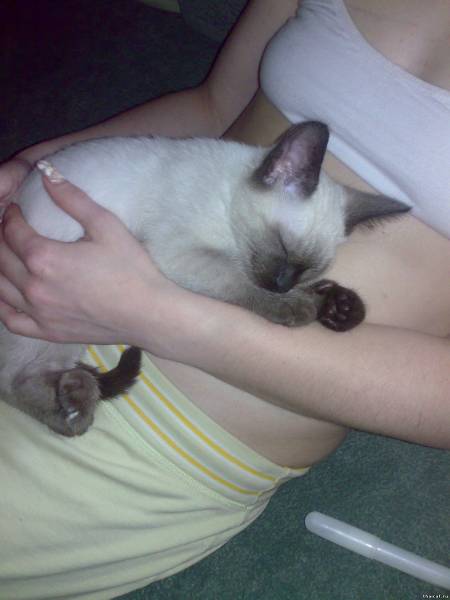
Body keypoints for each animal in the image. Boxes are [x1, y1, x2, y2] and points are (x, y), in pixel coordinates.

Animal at [0, 121, 409, 436]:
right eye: (282, 247)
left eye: (307, 268)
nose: (281, 285)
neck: (226, 206)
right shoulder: (180, 253)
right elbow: (238, 281)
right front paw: (298, 307)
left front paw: (339, 307)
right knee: (11, 384)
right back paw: (77, 404)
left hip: (63, 336)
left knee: (25, 381)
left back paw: (75, 400)